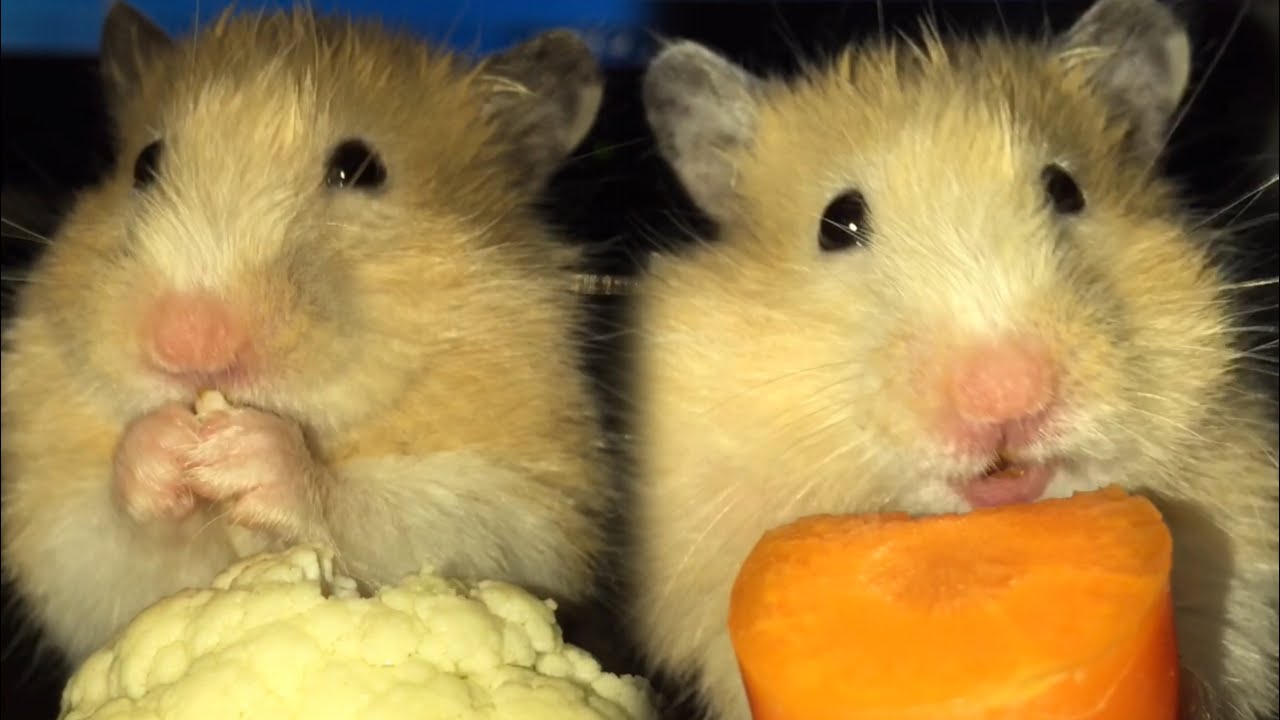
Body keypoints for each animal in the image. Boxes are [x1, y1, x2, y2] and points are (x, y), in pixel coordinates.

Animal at [0, 2, 610, 667]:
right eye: (145, 164)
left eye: (361, 168)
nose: (186, 344)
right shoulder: (65, 549)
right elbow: (102, 546)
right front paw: (160, 446)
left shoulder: (522, 518)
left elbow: (399, 512)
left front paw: (250, 454)